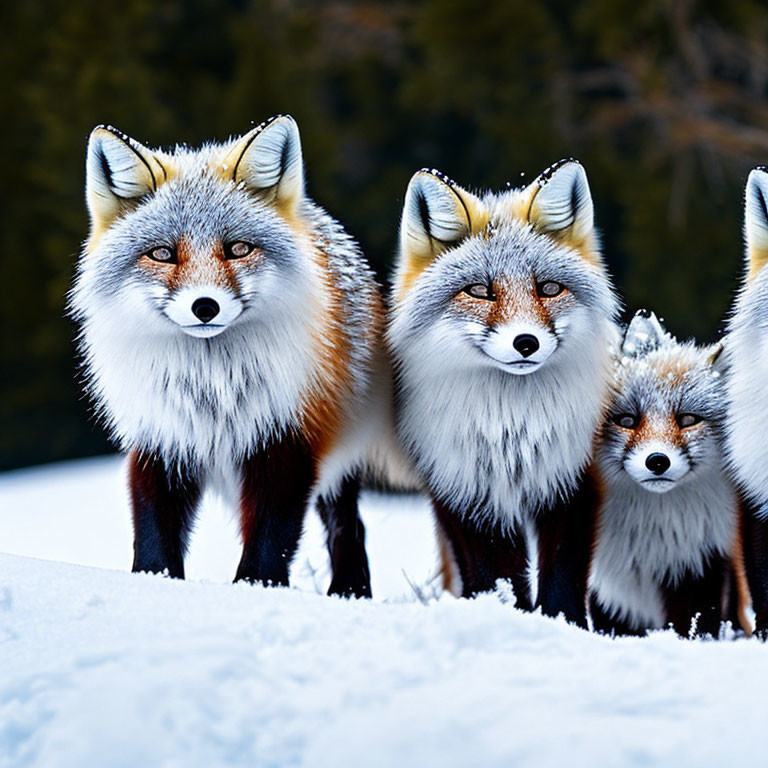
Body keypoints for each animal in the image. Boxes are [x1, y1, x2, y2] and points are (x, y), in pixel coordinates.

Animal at [69, 115, 392, 592]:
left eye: (238, 249)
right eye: (162, 254)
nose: (205, 307)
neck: (212, 390)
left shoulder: (285, 439)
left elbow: (269, 542)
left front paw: (255, 591)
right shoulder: (162, 439)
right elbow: (154, 534)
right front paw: (154, 585)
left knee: (348, 526)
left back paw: (350, 592)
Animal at [390, 158, 616, 624]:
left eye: (549, 288)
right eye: (479, 291)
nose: (525, 342)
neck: (511, 429)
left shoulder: (574, 480)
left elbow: (563, 575)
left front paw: (562, 624)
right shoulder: (467, 492)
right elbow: (496, 577)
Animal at [588, 308, 752, 640]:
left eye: (688, 419)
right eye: (627, 420)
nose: (657, 461)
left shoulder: (704, 569)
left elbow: (695, 630)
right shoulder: (611, 594)